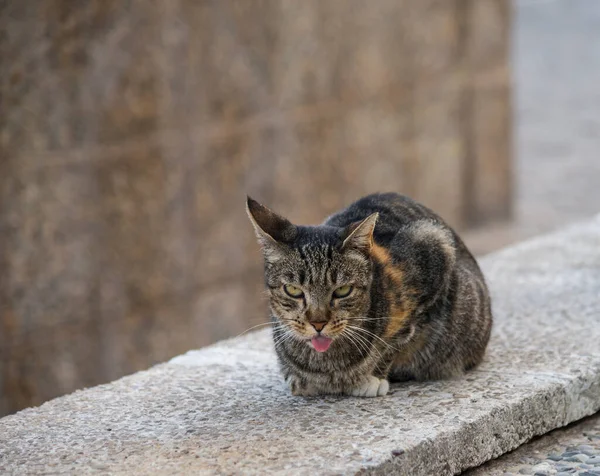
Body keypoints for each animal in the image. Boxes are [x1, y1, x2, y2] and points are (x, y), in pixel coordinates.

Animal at [245, 193, 492, 398]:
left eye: (342, 291)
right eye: (293, 290)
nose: (318, 323)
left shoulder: (432, 247)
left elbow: (396, 339)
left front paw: (372, 377)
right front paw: (297, 377)